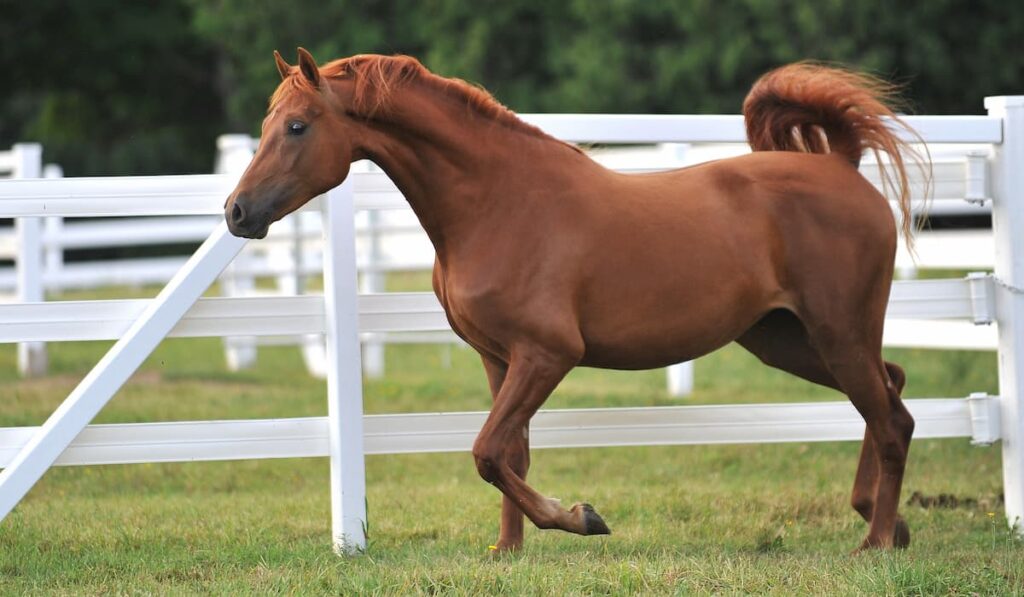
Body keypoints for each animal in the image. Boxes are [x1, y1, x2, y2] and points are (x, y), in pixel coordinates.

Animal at [228, 49, 925, 552]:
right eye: (264, 125)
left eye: (297, 126)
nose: (237, 213)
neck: (498, 203)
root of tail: (842, 167)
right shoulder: (498, 358)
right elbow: (510, 452)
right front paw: (507, 551)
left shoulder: (548, 354)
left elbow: (486, 451)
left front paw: (582, 517)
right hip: (788, 339)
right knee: (890, 390)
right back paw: (883, 521)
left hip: (836, 333)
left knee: (891, 418)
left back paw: (874, 542)